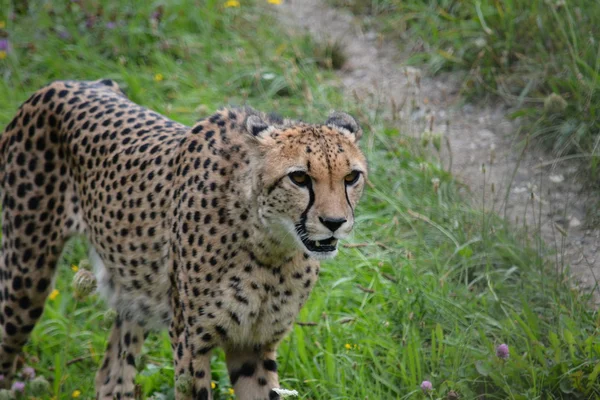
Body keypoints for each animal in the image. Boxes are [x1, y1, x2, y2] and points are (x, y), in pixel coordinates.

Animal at [0, 79, 366, 398]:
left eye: (351, 177)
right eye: (299, 178)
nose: (334, 223)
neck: (269, 247)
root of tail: (69, 82)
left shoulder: (254, 345)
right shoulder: (191, 345)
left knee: (110, 376)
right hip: (24, 281)